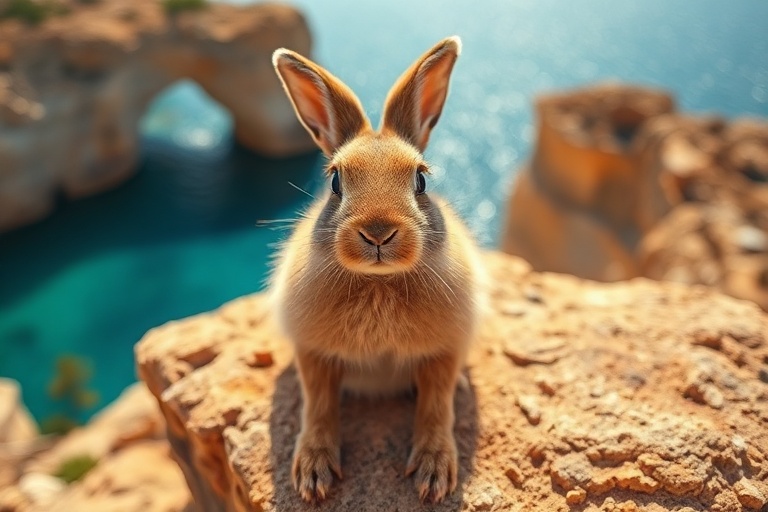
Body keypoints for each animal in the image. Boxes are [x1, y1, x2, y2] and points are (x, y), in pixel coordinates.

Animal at [270, 36, 483, 504]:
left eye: (421, 180)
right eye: (335, 181)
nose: (379, 233)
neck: (378, 282)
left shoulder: (443, 352)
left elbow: (436, 405)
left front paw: (434, 475)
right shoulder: (314, 354)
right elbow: (319, 405)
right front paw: (312, 474)